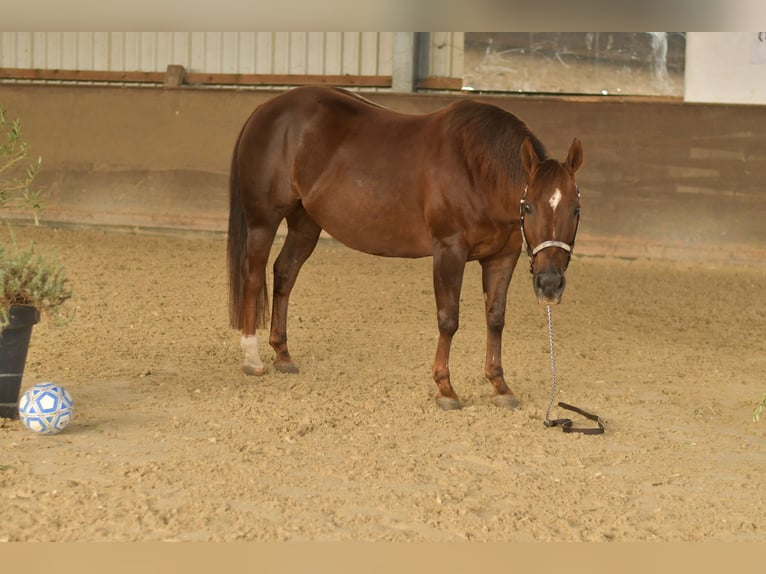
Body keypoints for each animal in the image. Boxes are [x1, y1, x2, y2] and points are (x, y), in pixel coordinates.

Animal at [227, 86, 583, 410]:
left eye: (575, 209)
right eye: (529, 207)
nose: (550, 284)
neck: (477, 170)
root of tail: (265, 109)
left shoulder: (501, 257)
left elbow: (495, 318)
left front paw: (500, 386)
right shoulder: (449, 251)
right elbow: (448, 319)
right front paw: (445, 388)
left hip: (305, 224)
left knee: (284, 274)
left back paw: (282, 354)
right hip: (263, 221)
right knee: (254, 276)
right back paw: (251, 357)